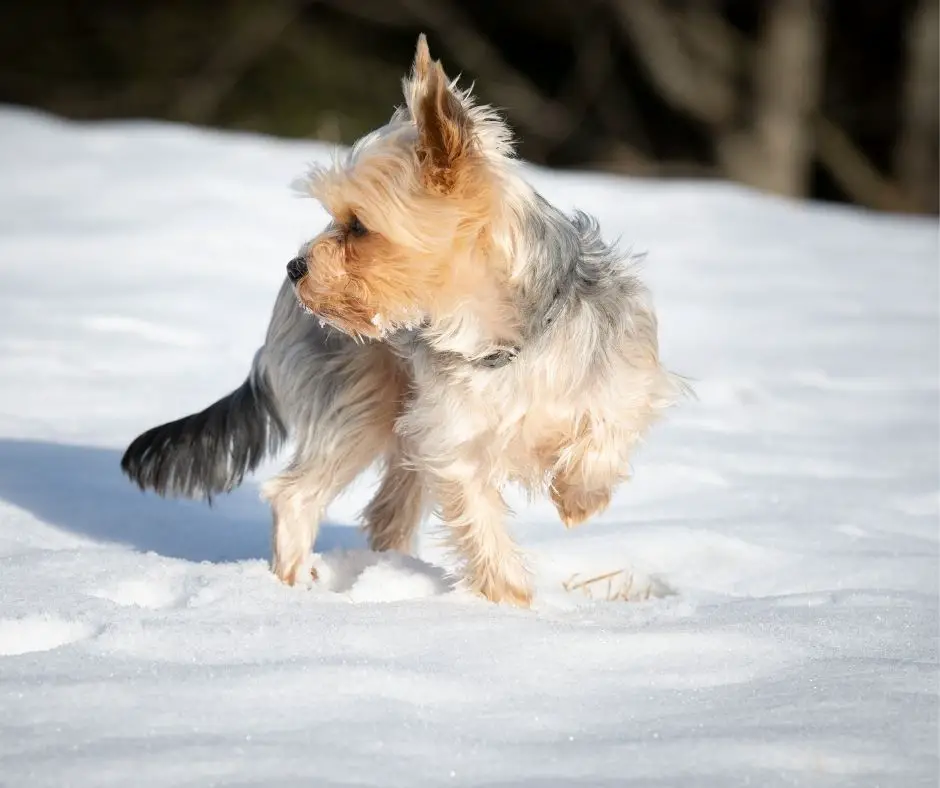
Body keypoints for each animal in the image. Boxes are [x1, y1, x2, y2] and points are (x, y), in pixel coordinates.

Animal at [121, 33, 688, 608]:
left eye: (358, 225)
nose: (295, 267)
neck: (502, 341)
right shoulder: (454, 443)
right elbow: (481, 525)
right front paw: (510, 605)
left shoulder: (624, 376)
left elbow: (608, 429)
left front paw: (579, 498)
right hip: (359, 402)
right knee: (296, 496)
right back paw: (296, 591)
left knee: (387, 511)